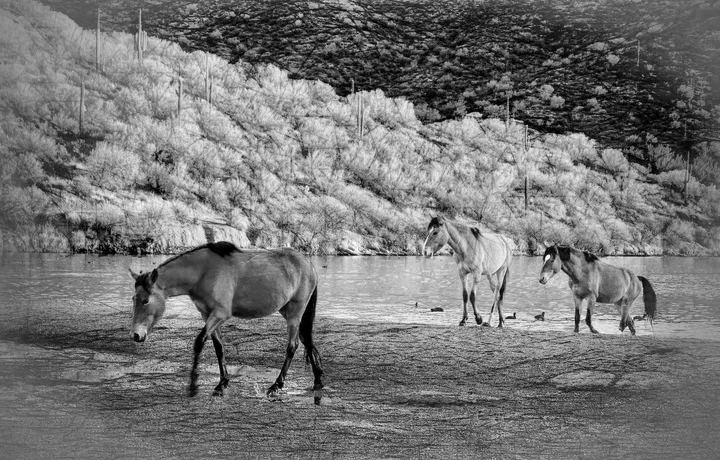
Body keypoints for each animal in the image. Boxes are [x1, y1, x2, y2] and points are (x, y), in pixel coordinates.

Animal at [129, 242, 324, 402]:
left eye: (145, 301)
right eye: (133, 299)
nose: (136, 334)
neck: (204, 271)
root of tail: (308, 265)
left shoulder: (220, 313)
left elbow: (199, 342)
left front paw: (193, 386)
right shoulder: (207, 314)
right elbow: (218, 347)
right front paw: (222, 383)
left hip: (295, 313)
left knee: (293, 346)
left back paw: (276, 385)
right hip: (288, 311)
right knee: (308, 341)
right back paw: (318, 380)